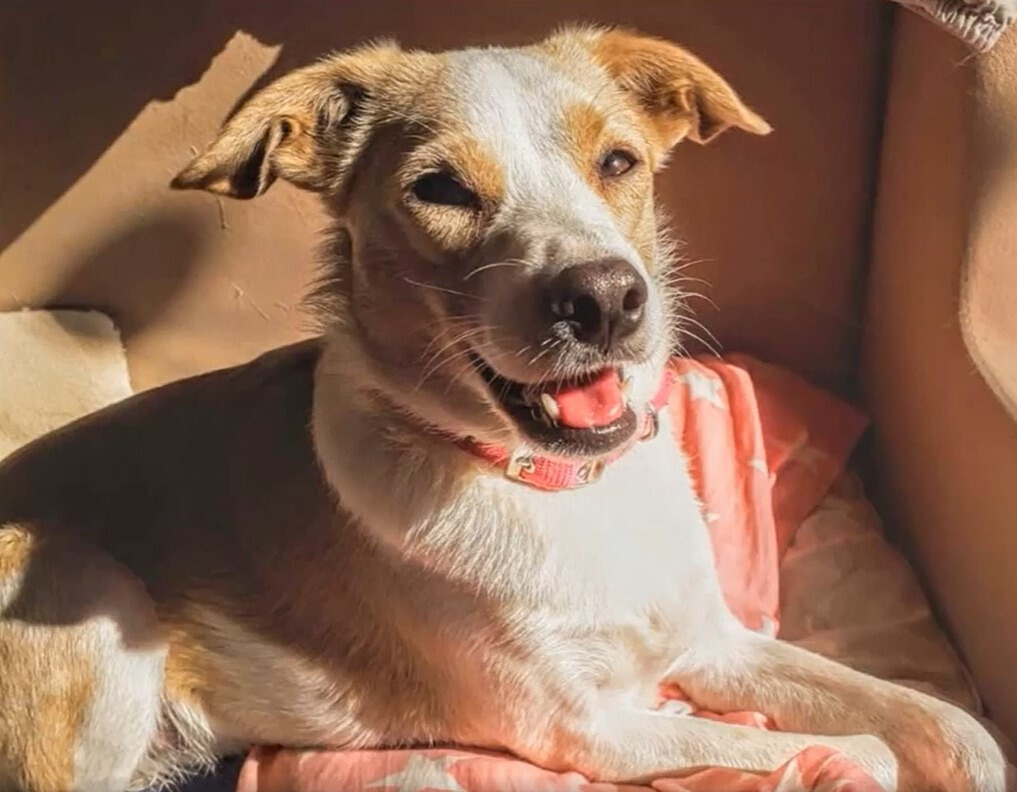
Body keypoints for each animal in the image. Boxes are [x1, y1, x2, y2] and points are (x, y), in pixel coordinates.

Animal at [0, 24, 1008, 792]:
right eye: (439, 188)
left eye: (618, 161)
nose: (604, 297)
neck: (558, 491)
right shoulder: (588, 730)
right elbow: (858, 751)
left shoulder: (709, 643)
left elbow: (939, 721)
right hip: (89, 598)